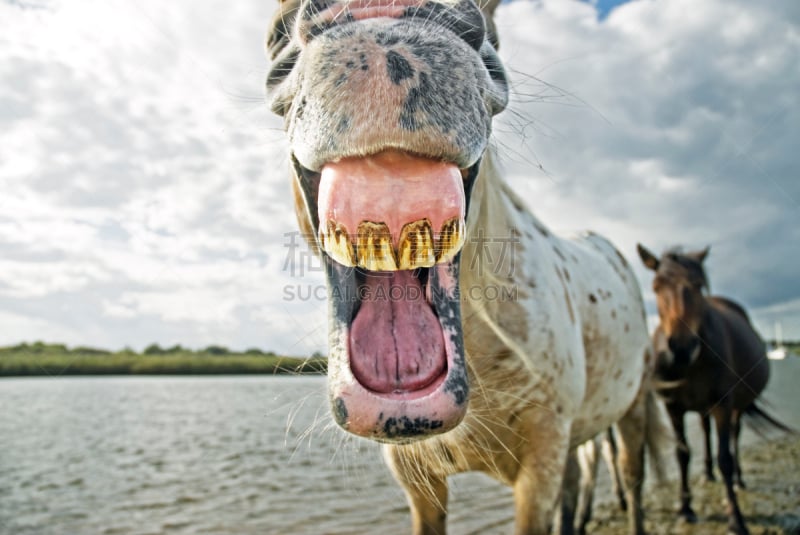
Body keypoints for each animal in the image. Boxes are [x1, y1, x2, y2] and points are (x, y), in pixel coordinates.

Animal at [268, 2, 668, 532]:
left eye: (491, 19)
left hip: (632, 407)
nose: (382, 21)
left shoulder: (542, 454)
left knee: (633, 477)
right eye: (276, 30)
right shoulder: (416, 475)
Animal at [636, 246, 788, 535]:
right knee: (705, 432)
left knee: (736, 436)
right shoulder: (673, 407)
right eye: (656, 286)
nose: (681, 347)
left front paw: (735, 518)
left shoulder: (723, 404)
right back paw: (707, 474)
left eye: (697, 285)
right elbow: (682, 454)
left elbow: (725, 457)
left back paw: (739, 480)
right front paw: (685, 508)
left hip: (736, 406)